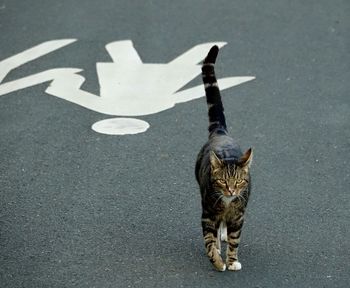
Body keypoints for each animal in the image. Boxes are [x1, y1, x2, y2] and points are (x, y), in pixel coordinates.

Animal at [196, 45, 253, 272]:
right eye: (222, 181)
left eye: (238, 182)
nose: (230, 191)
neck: (227, 204)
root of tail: (220, 132)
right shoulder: (208, 215)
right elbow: (209, 243)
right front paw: (218, 262)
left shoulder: (238, 217)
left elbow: (235, 240)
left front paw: (231, 261)